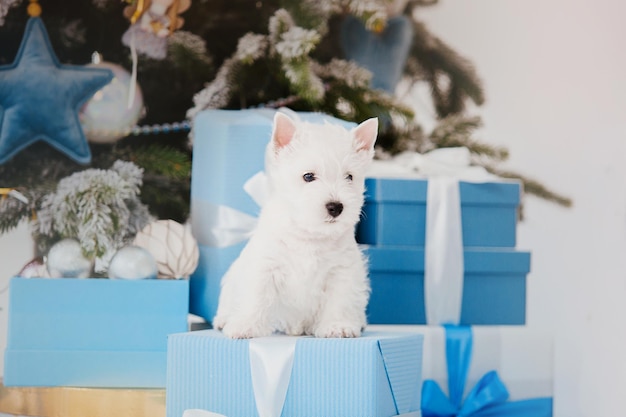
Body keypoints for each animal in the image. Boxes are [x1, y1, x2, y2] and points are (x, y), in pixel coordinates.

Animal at [212, 111, 378, 338]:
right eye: (308, 176)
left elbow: (339, 301)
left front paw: (337, 326)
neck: (310, 235)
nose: (336, 207)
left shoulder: (342, 271)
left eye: (349, 177)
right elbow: (256, 297)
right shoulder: (265, 266)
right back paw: (223, 319)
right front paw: (245, 326)